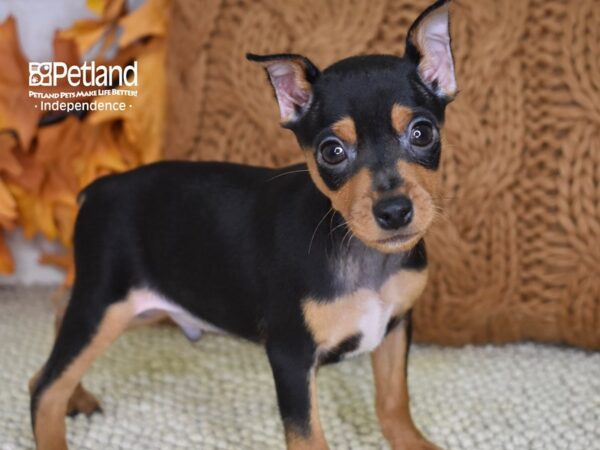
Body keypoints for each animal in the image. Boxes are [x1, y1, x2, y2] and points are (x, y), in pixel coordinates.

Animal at [30, 1, 458, 448]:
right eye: (332, 151)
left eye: (422, 132)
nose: (394, 212)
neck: (359, 252)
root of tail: (99, 186)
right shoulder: (290, 356)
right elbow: (308, 436)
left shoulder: (395, 327)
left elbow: (393, 403)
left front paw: (415, 443)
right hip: (104, 304)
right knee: (46, 387)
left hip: (140, 306)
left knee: (50, 357)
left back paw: (77, 395)